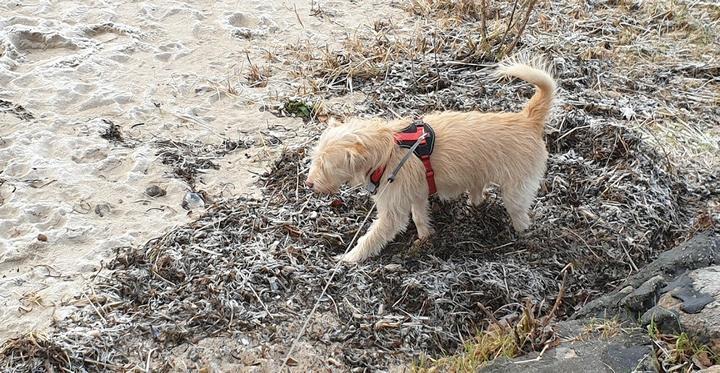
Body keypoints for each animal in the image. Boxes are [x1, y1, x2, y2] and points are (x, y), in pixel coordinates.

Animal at [306, 56, 556, 264]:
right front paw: (425, 238)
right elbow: (419, 218)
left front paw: (349, 258)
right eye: (315, 159)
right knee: (478, 192)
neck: (388, 150)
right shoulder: (416, 195)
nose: (308, 184)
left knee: (519, 214)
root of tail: (528, 120)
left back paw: (521, 235)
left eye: (326, 165)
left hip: (517, 190)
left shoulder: (392, 211)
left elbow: (371, 237)